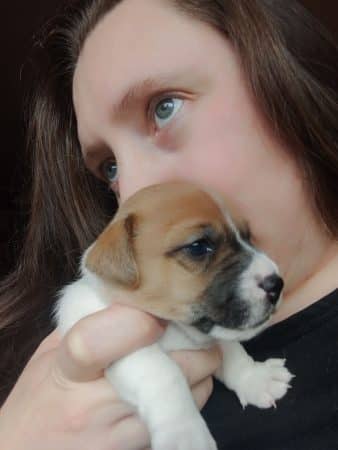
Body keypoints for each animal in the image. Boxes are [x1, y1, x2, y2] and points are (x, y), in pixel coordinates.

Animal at [54, 181, 292, 448]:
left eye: (248, 236)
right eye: (198, 247)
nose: (276, 284)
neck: (177, 329)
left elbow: (232, 350)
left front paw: (254, 377)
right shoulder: (120, 342)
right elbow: (164, 373)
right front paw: (185, 433)